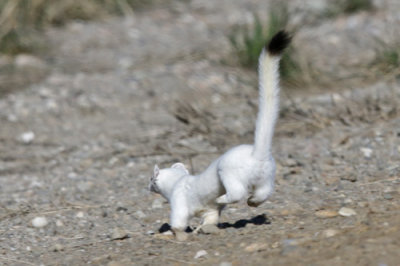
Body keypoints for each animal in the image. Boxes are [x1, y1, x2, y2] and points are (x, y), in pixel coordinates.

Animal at [150, 31, 290, 241]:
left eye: (151, 179)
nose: (148, 186)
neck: (179, 182)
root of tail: (257, 154)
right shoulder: (210, 210)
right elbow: (211, 218)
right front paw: (202, 229)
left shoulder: (178, 201)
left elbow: (178, 220)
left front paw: (176, 234)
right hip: (268, 174)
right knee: (264, 192)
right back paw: (253, 201)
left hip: (228, 171)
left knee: (237, 192)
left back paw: (223, 197)